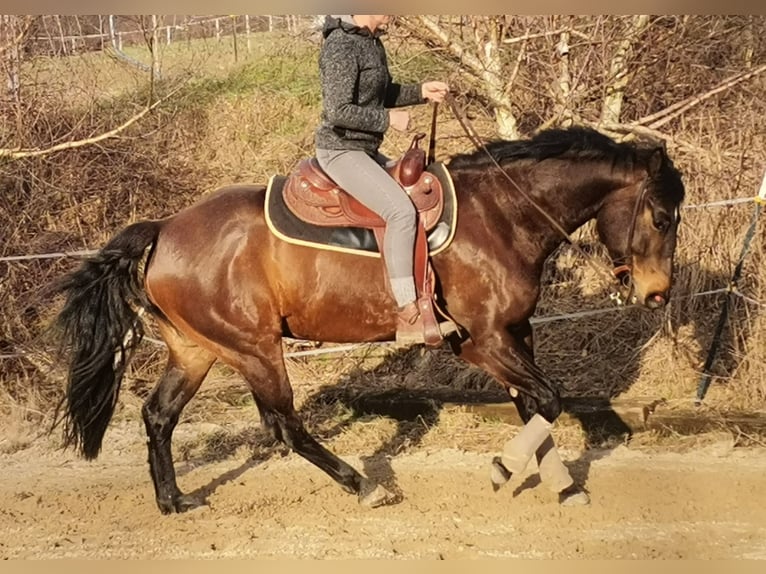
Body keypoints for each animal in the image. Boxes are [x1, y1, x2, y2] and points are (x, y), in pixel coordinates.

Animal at [55, 127, 688, 516]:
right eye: (661, 217)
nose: (657, 294)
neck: (501, 216)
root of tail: (165, 228)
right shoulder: (482, 341)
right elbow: (550, 401)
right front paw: (505, 470)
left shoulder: (515, 334)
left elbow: (538, 406)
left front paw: (561, 488)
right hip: (256, 350)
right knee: (284, 425)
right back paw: (364, 488)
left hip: (198, 350)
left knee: (159, 416)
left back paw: (173, 500)